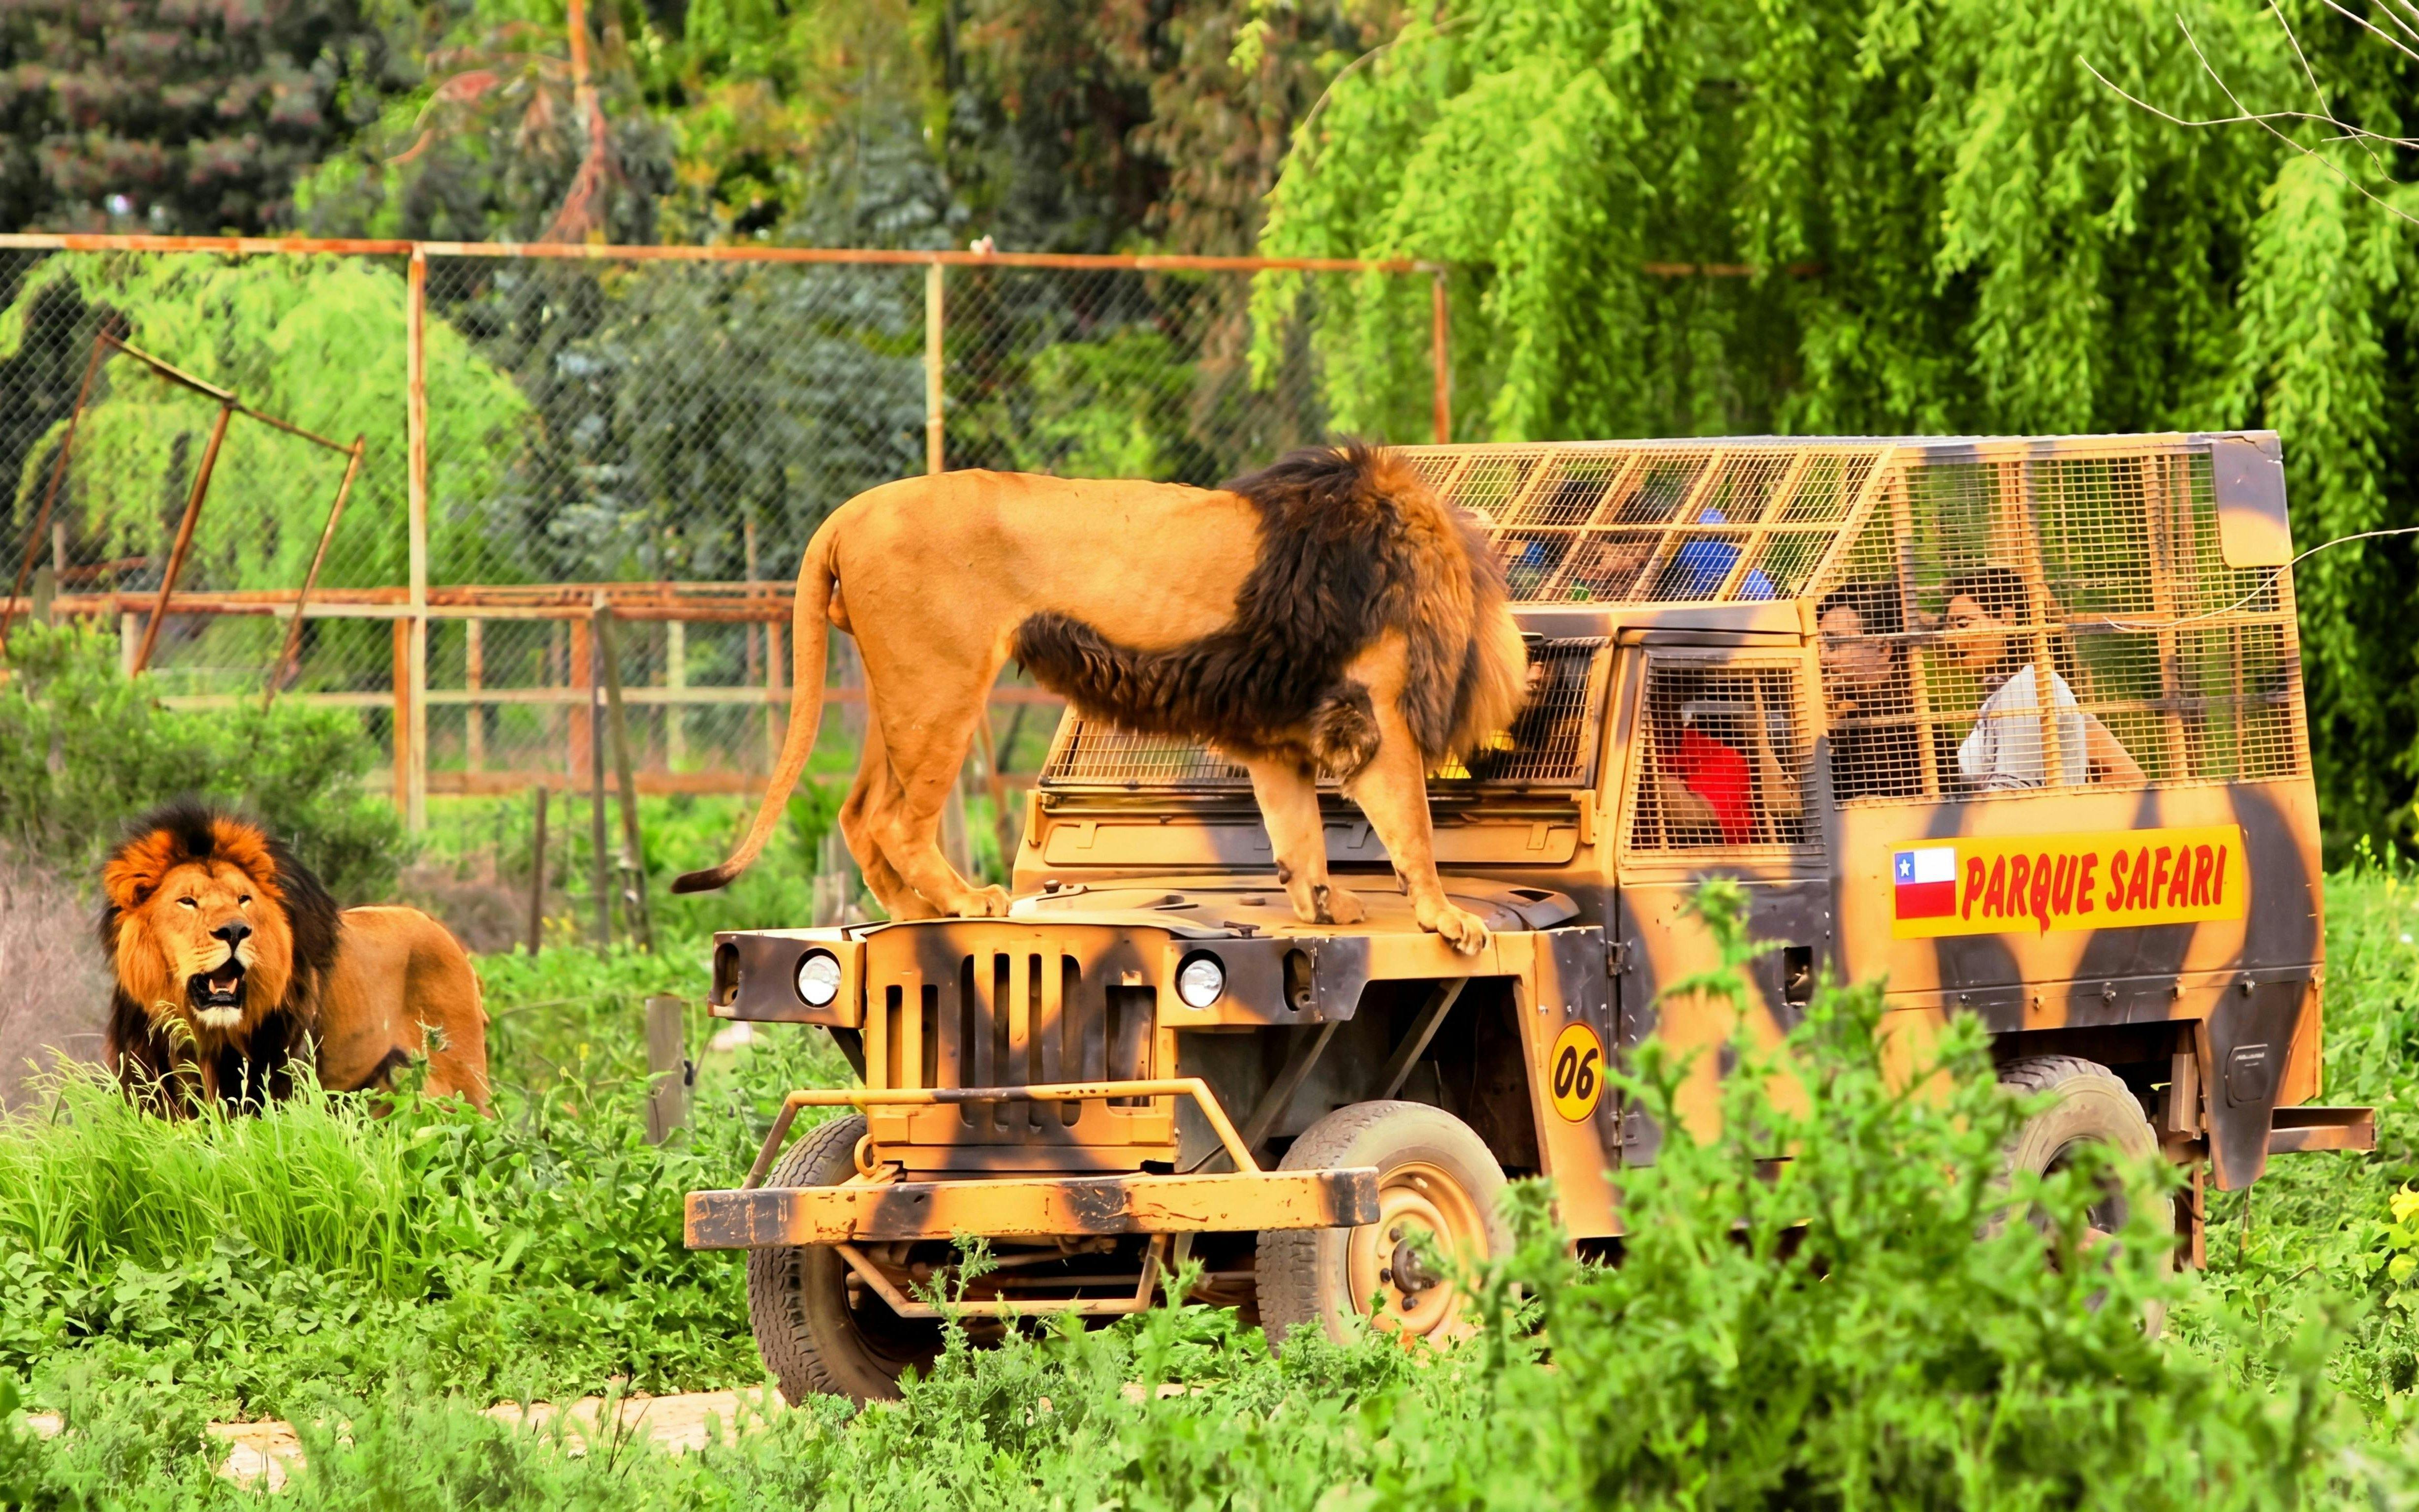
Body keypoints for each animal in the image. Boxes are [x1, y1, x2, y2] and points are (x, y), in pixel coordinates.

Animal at [99, 802, 490, 1113]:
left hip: (461, 1081)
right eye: (187, 901)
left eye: (244, 899)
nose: (235, 931)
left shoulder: (274, 1087)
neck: (205, 1034)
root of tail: (446, 933)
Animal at [674, 443, 1527, 953]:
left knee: (856, 814)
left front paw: (1320, 908)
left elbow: (1297, 837)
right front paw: (1446, 918)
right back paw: (968, 901)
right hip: (941, 686)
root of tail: (847, 511)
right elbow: (1411, 826)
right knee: (895, 821)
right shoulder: (1373, 712)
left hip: (899, 690)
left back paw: (915, 912)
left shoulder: (1278, 730)